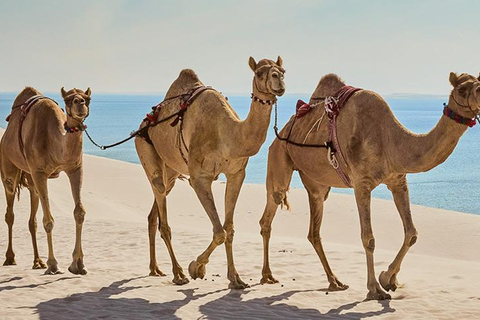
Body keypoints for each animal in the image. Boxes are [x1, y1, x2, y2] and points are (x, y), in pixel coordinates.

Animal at [0, 87, 92, 276]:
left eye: (88, 98)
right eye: (68, 99)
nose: (80, 103)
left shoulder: (75, 169)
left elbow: (79, 212)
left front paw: (78, 264)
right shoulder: (40, 173)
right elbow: (48, 220)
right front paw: (53, 265)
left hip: (30, 177)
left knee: (32, 219)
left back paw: (38, 261)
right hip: (9, 169)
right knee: (10, 212)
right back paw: (10, 258)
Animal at [135, 55, 284, 288]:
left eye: (283, 70)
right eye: (260, 73)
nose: (279, 80)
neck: (228, 134)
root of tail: (143, 125)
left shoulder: (236, 173)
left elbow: (229, 229)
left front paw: (235, 278)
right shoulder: (199, 177)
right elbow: (219, 232)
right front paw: (196, 267)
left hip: (172, 171)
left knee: (155, 212)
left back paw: (155, 269)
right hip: (145, 147)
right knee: (161, 208)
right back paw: (178, 273)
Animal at [258, 72, 480, 300]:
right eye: (462, 89)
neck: (390, 139)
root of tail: (283, 129)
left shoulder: (398, 180)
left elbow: (412, 233)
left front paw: (389, 279)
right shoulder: (361, 184)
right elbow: (369, 238)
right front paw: (375, 288)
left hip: (317, 184)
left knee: (314, 231)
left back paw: (335, 281)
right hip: (279, 155)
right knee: (270, 211)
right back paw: (267, 276)